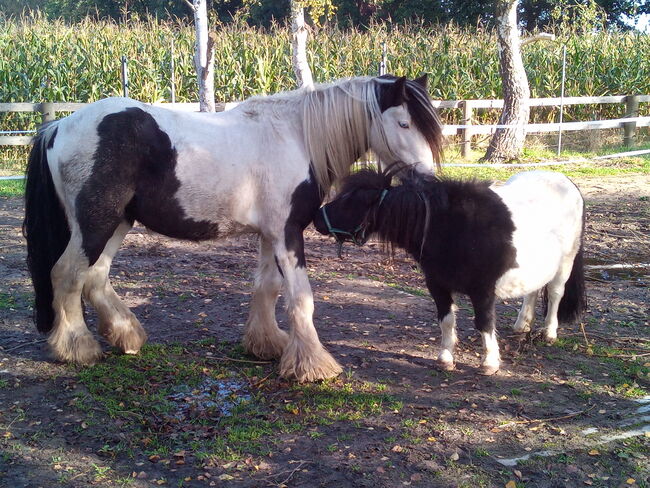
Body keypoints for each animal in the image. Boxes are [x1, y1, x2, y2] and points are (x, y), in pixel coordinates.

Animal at [22, 75, 442, 382]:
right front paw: (313, 365)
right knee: (67, 275)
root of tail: (58, 126)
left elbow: (267, 288)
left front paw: (267, 344)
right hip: (96, 224)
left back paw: (127, 335)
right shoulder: (288, 233)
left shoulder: (271, 234)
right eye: (404, 122)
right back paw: (78, 347)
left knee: (94, 278)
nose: (428, 181)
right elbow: (301, 297)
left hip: (117, 223)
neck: (296, 135)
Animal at [312, 166, 584, 376]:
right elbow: (446, 320)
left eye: (350, 202)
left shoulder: (483, 291)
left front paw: (489, 362)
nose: (316, 218)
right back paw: (522, 325)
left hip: (566, 262)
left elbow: (484, 322)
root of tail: (566, 181)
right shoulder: (438, 285)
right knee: (533, 291)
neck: (453, 227)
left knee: (556, 293)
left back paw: (549, 332)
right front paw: (445, 358)